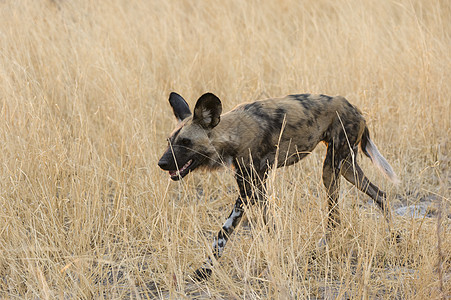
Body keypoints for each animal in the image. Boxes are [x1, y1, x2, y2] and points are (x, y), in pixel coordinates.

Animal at [159, 92, 400, 282]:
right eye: (169, 141)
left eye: (186, 142)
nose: (161, 163)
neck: (233, 133)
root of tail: (355, 108)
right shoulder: (254, 186)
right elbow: (257, 228)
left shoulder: (249, 190)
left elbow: (225, 232)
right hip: (347, 168)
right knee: (381, 195)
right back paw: (394, 237)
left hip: (331, 169)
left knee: (335, 218)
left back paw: (321, 249)